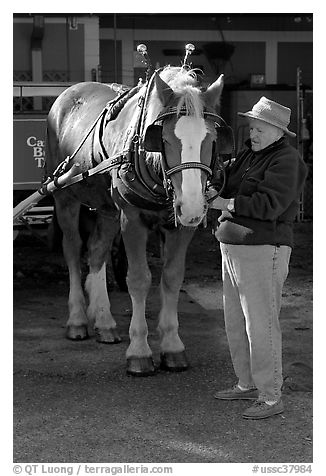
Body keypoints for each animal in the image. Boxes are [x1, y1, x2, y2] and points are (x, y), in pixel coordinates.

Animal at [45, 65, 232, 376]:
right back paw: (77, 319)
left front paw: (172, 346)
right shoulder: (131, 220)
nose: (193, 206)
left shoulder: (180, 226)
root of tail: (69, 92)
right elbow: (139, 279)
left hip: (107, 208)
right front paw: (140, 350)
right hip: (65, 196)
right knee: (72, 250)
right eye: (164, 140)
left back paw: (104, 321)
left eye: (211, 140)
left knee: (96, 252)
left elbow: (172, 277)